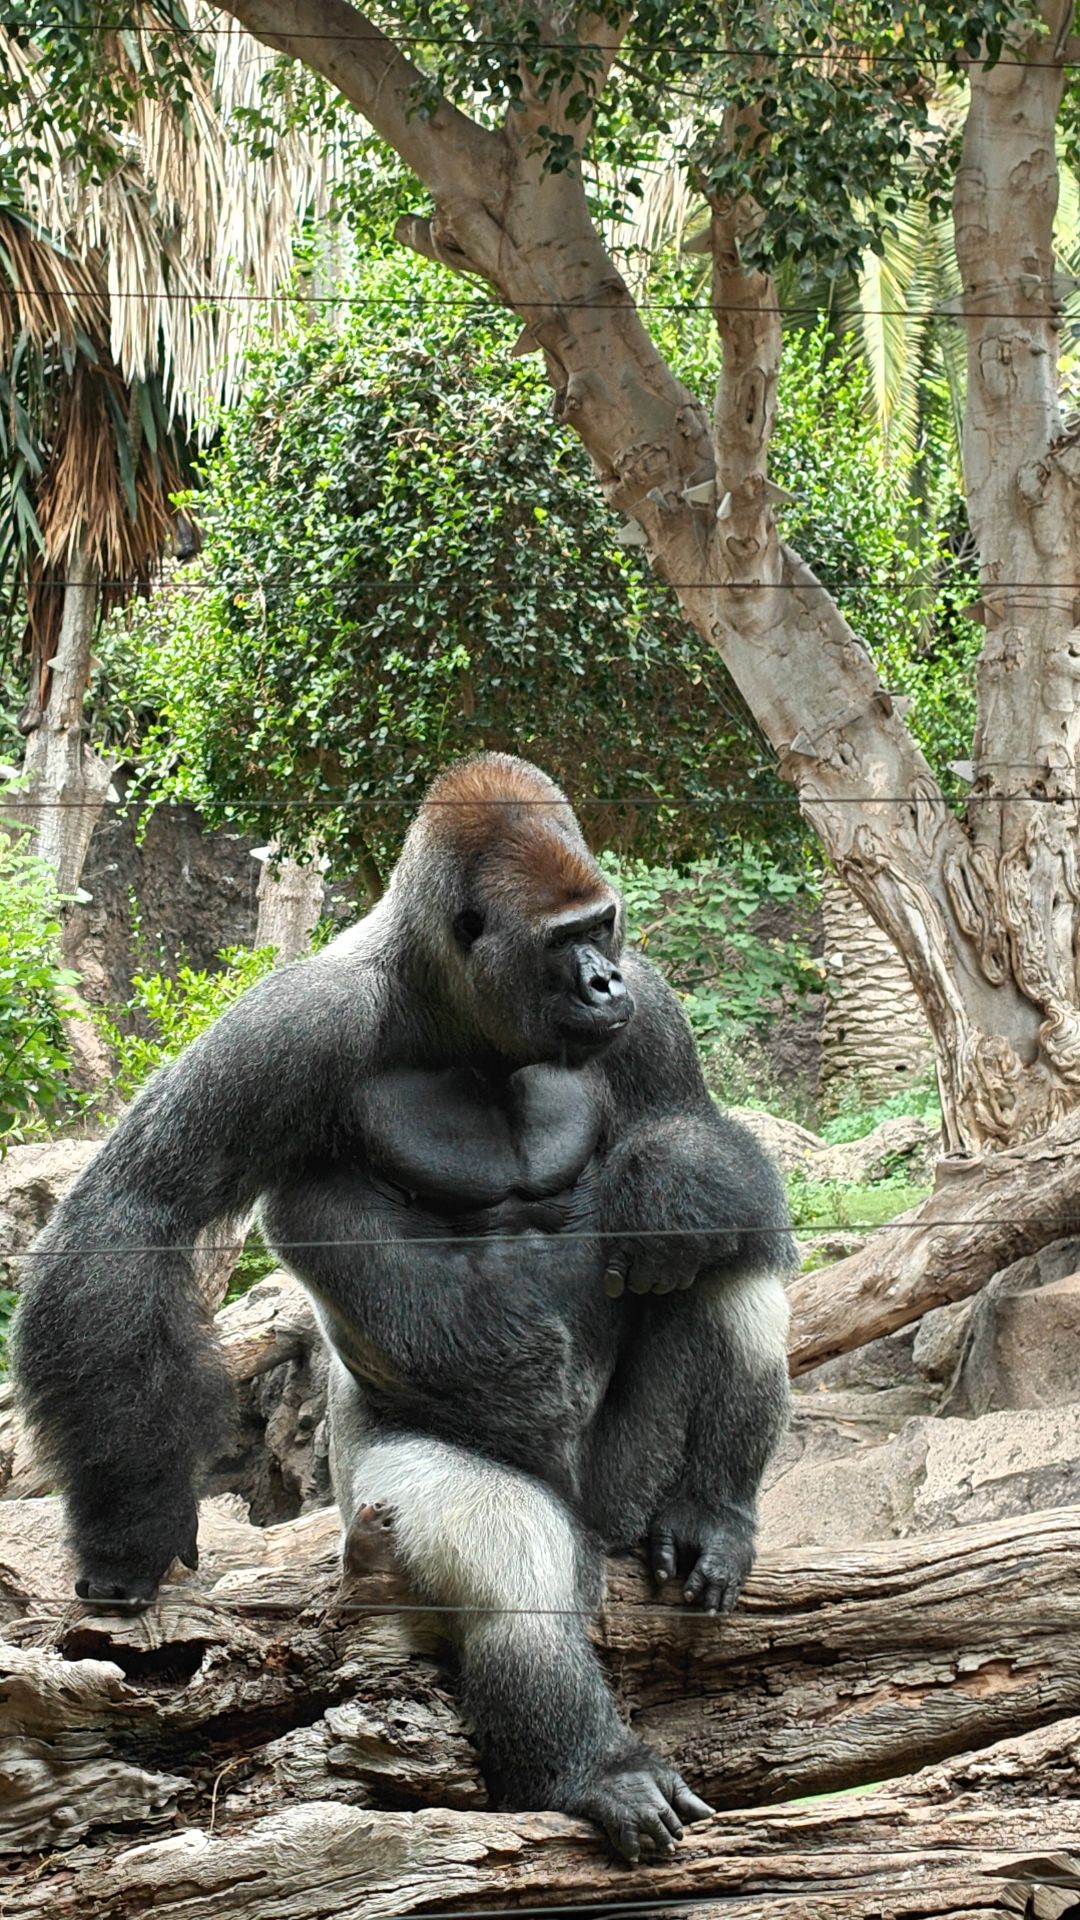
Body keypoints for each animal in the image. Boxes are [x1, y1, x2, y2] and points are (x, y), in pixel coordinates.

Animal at [13, 753, 794, 1863]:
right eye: (563, 942)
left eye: (603, 929)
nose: (600, 983)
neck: (453, 1012)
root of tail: (599, 1520)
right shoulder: (296, 1025)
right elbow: (137, 1210)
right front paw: (130, 1529)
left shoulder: (651, 1010)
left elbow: (692, 1137)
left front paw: (672, 1182)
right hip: (376, 1512)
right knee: (509, 1548)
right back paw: (588, 1766)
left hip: (624, 1496)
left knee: (727, 1253)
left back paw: (710, 1513)